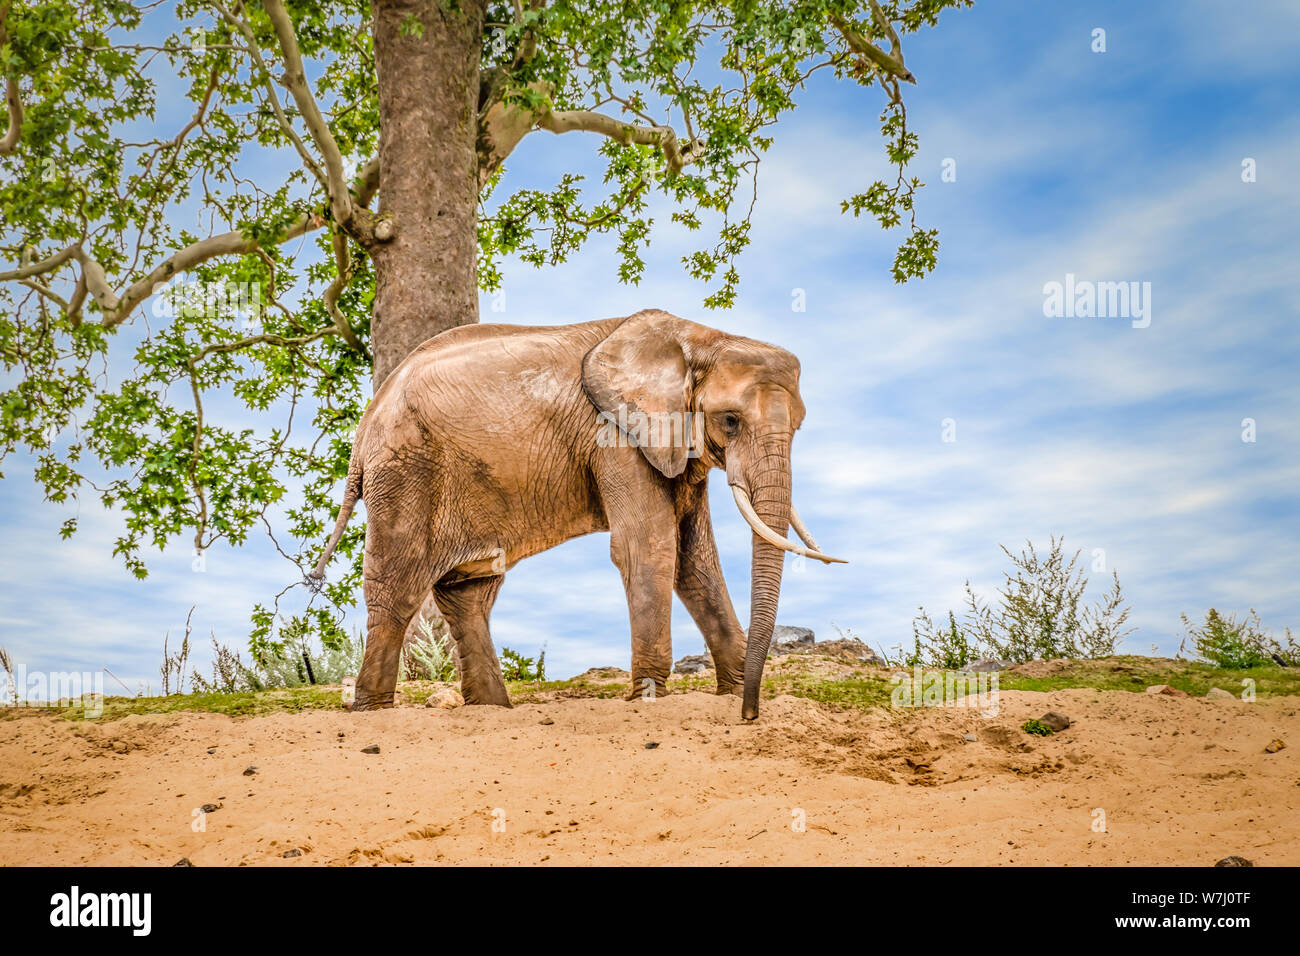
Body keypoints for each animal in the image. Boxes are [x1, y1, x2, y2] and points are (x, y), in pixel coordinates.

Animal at [310, 310, 847, 723]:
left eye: (799, 425)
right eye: (731, 421)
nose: (751, 715)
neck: (699, 338)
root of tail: (367, 422)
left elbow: (696, 562)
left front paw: (732, 691)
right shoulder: (615, 436)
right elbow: (649, 547)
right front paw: (649, 696)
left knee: (469, 592)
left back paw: (493, 710)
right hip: (405, 472)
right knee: (399, 588)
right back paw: (373, 711)